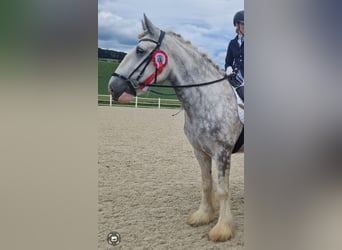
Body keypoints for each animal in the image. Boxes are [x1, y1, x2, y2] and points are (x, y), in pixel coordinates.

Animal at [108, 14, 242, 241]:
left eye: (140, 50)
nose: (112, 87)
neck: (208, 98)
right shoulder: (200, 152)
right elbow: (206, 184)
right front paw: (203, 215)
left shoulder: (222, 152)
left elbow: (222, 190)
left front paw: (222, 229)